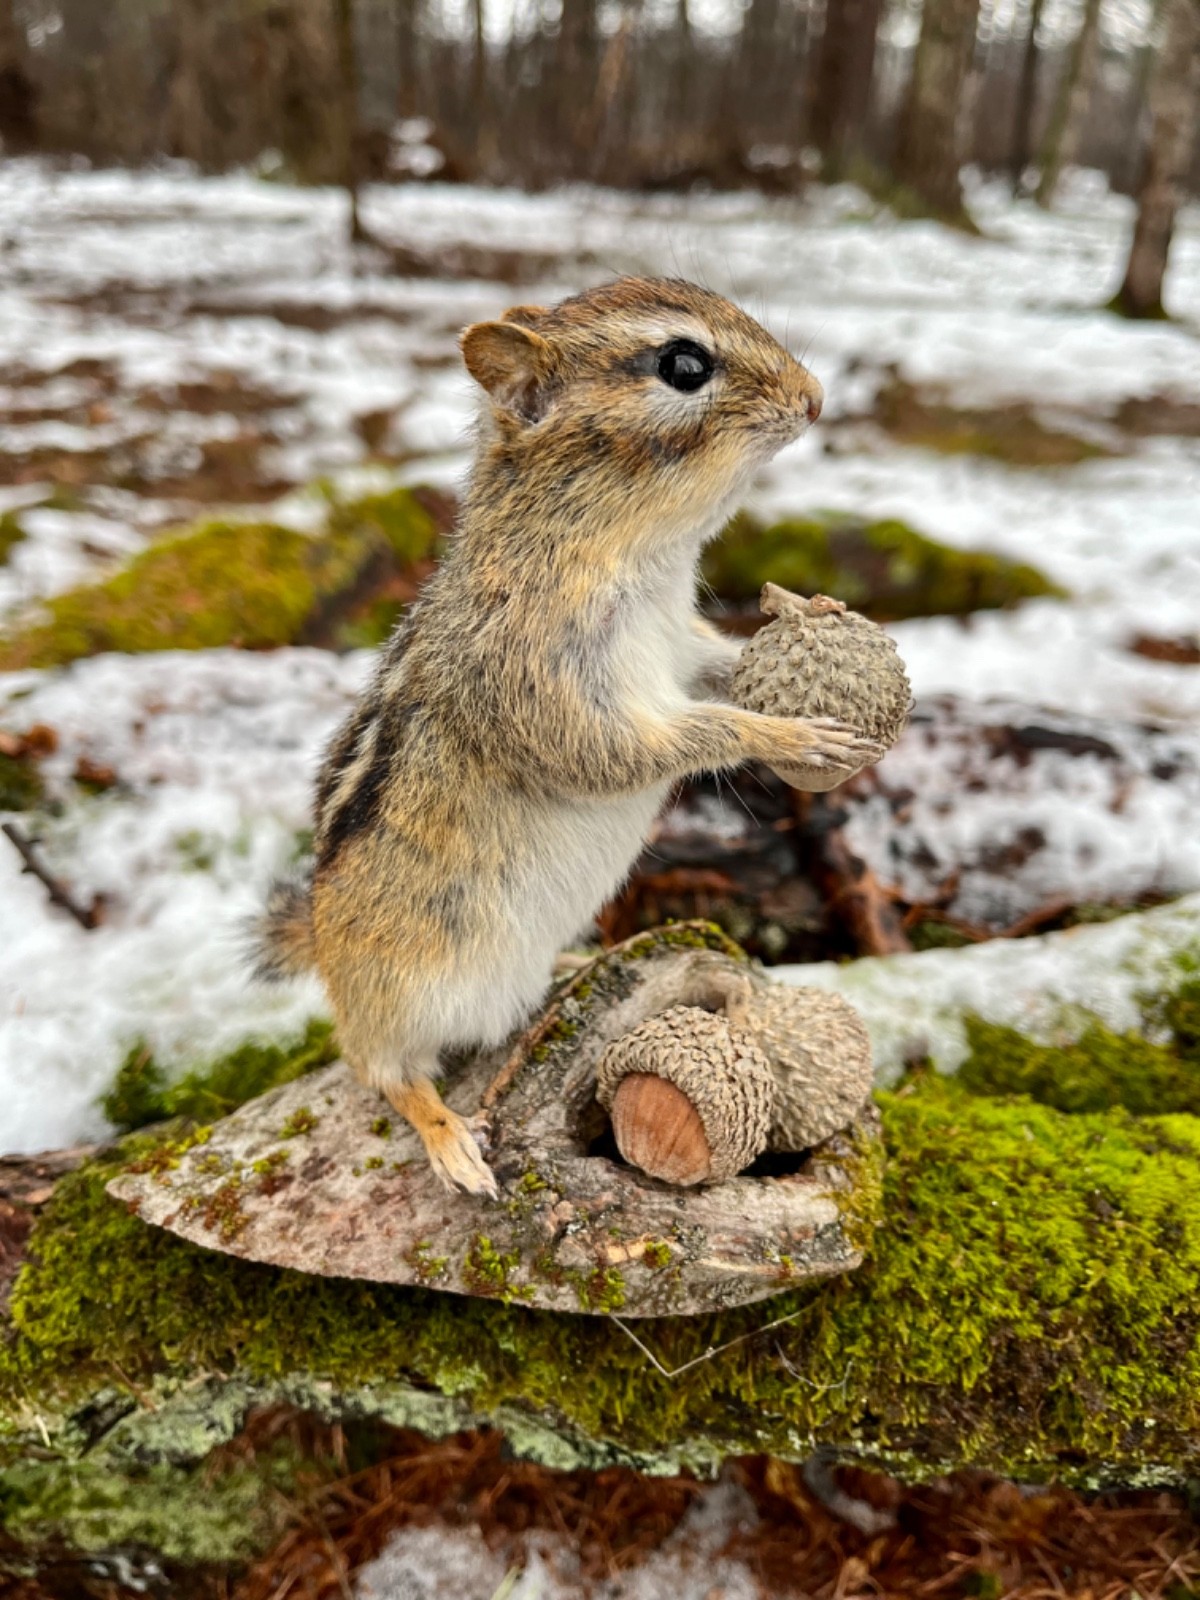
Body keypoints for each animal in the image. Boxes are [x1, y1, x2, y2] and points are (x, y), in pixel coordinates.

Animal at [253, 277, 881, 1197]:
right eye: (683, 365)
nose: (816, 398)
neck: (639, 553)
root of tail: (325, 949)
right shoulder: (548, 692)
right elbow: (658, 741)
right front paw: (789, 733)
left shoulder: (678, 646)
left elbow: (721, 668)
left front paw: (812, 612)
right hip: (402, 988)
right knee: (381, 1070)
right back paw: (449, 1138)